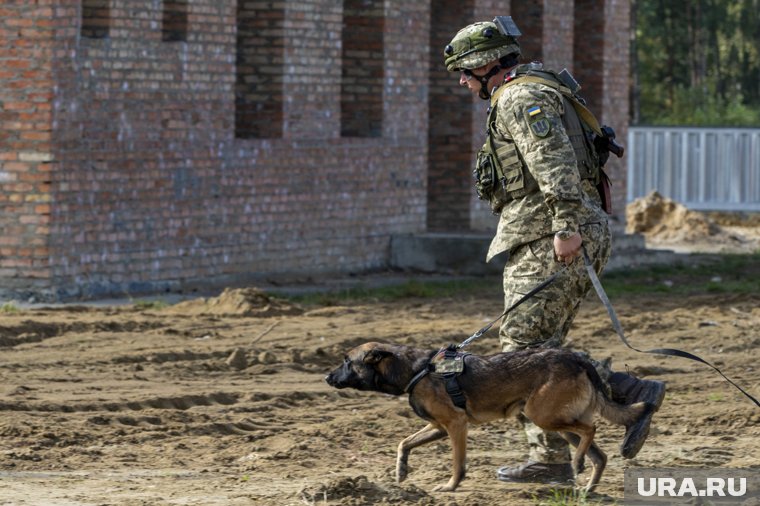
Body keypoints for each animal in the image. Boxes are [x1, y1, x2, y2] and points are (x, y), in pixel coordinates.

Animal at [324, 342, 652, 492]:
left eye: (347, 361)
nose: (327, 376)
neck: (416, 370)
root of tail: (576, 358)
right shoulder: (438, 426)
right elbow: (404, 443)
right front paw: (401, 470)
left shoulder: (456, 426)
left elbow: (458, 463)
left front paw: (450, 486)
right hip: (556, 420)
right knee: (600, 454)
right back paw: (588, 487)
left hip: (543, 415)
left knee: (591, 428)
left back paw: (579, 463)